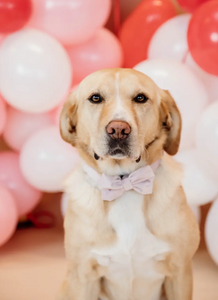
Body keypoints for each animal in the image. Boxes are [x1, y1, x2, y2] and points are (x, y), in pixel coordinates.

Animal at [57, 68, 199, 300]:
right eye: (95, 98)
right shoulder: (83, 276)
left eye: (140, 98)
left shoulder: (180, 272)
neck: (124, 183)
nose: (118, 129)